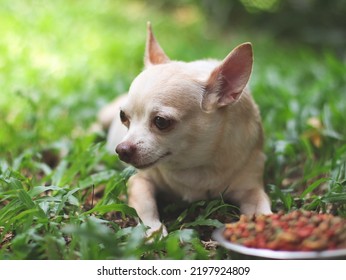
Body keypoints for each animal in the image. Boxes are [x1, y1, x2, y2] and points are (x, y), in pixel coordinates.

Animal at [98, 23, 272, 235]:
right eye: (123, 117)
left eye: (161, 122)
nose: (122, 150)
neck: (195, 165)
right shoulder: (139, 181)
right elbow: (146, 207)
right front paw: (154, 231)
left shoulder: (251, 189)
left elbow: (262, 207)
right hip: (105, 116)